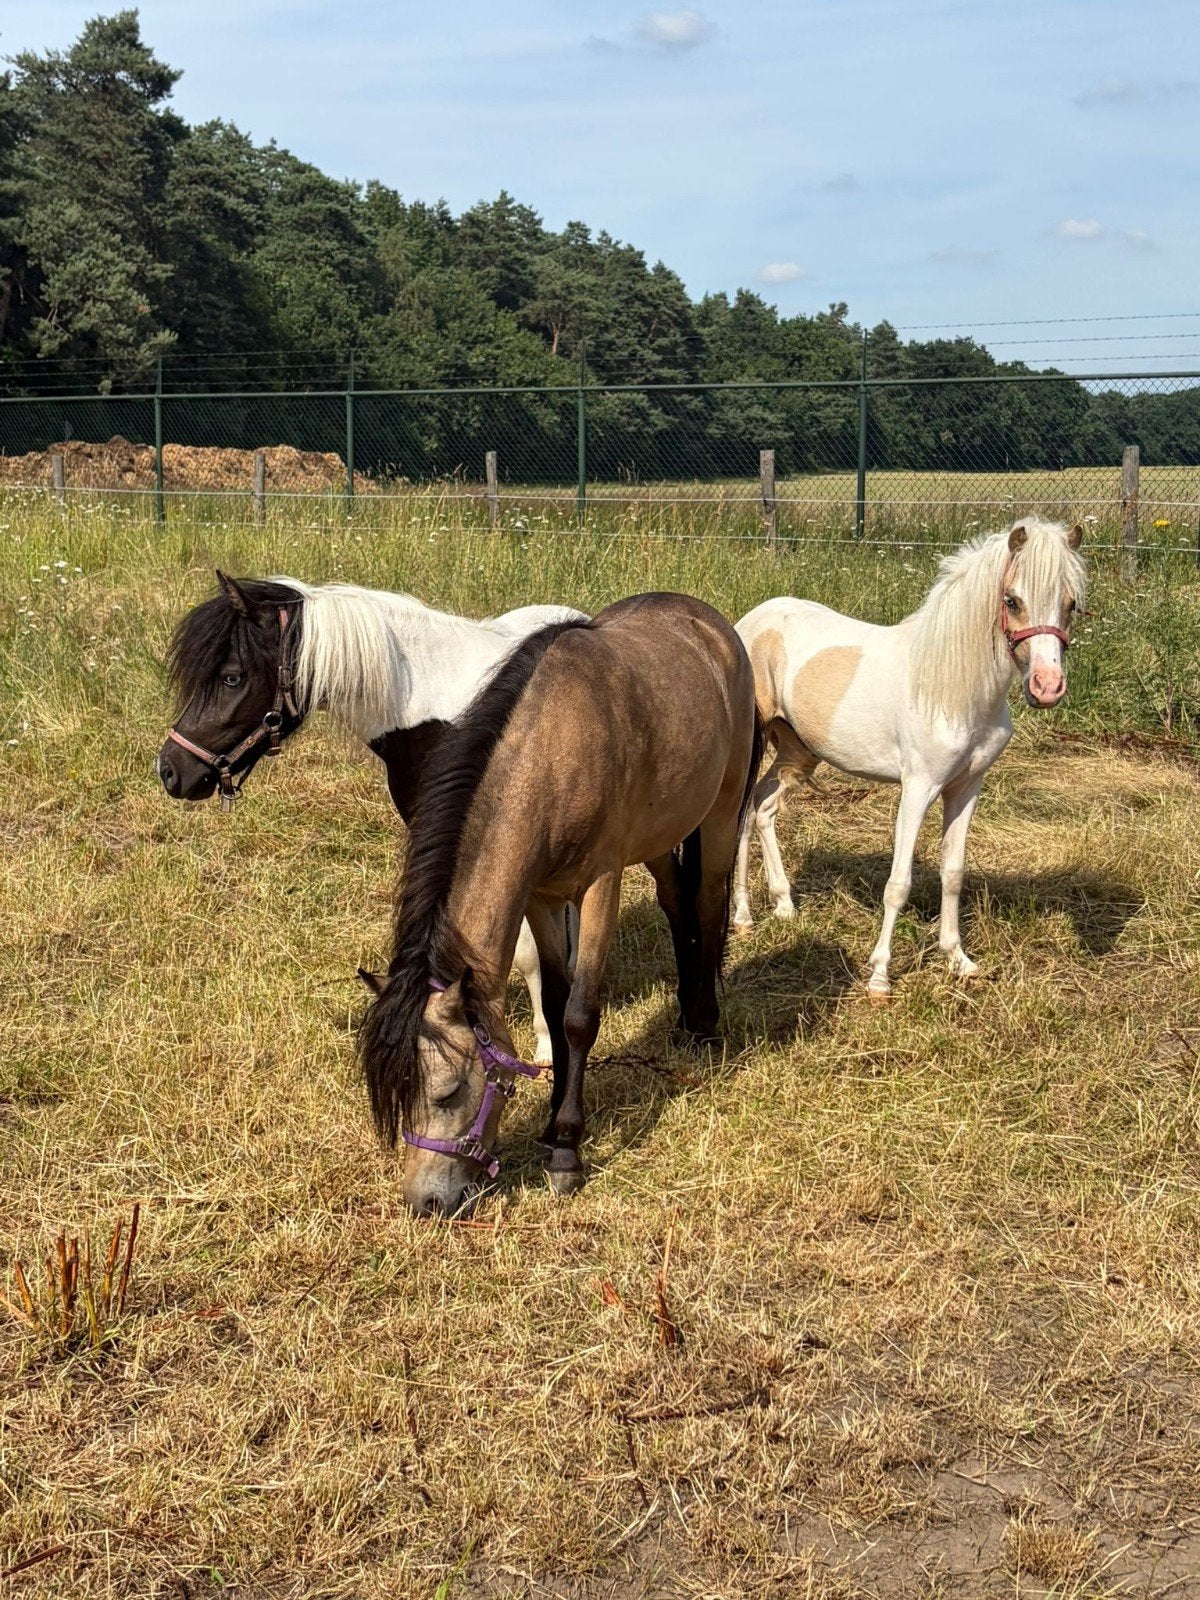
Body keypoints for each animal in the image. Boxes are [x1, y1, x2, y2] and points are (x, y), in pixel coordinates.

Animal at [359, 592, 762, 1217]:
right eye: (399, 1094)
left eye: (448, 1092)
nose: (424, 1202)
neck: (554, 752)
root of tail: (712, 624)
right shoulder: (542, 897)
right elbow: (550, 1002)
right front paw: (550, 1125)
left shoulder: (599, 889)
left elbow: (578, 1016)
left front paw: (567, 1151)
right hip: (658, 835)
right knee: (677, 904)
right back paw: (685, 1016)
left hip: (718, 814)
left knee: (708, 902)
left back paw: (704, 1024)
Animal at [732, 517, 1086, 998]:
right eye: (1012, 600)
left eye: (1071, 604)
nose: (1047, 687)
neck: (951, 689)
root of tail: (746, 623)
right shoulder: (918, 788)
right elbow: (898, 883)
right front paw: (879, 977)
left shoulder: (965, 788)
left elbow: (953, 871)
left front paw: (958, 960)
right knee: (743, 815)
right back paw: (743, 915)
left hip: (797, 750)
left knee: (764, 807)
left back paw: (784, 905)